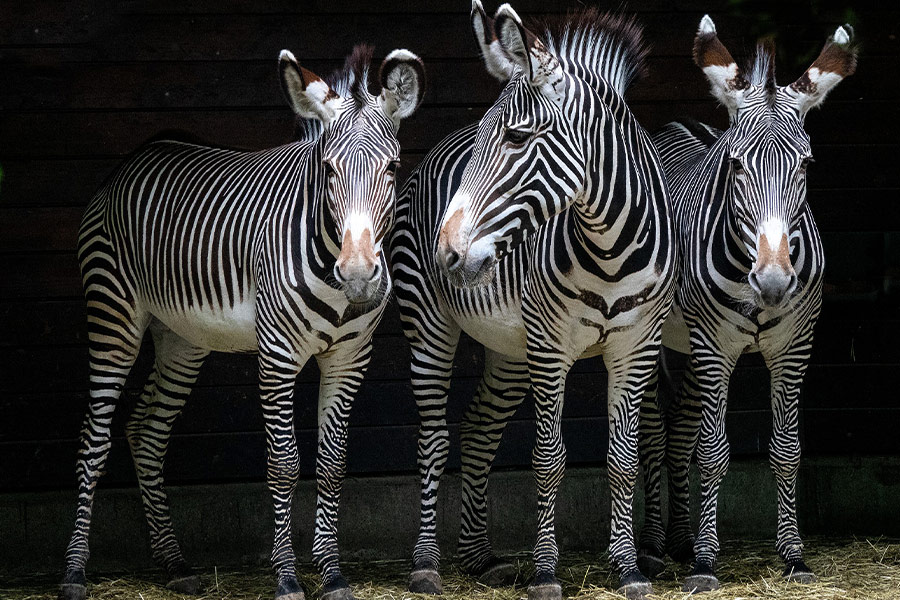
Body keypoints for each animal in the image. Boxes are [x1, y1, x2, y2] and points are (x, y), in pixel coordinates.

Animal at [57, 45, 424, 600]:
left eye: (394, 167)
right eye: (328, 169)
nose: (360, 275)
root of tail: (138, 154)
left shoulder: (349, 359)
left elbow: (333, 464)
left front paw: (332, 573)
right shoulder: (277, 355)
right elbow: (284, 463)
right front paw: (288, 577)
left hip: (182, 337)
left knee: (146, 431)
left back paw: (176, 565)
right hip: (112, 312)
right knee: (93, 441)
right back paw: (75, 572)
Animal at [390, 3, 676, 599]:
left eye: (518, 138)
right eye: (490, 137)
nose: (447, 252)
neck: (611, 249)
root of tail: (434, 151)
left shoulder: (636, 346)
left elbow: (622, 458)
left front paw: (628, 568)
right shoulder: (550, 347)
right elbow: (548, 458)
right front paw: (546, 572)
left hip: (509, 349)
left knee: (478, 429)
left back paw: (479, 558)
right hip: (431, 328)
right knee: (433, 438)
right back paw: (427, 564)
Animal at [634, 16, 857, 593]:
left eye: (806, 164)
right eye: (735, 165)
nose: (774, 282)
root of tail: (675, 126)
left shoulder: (794, 347)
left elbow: (787, 449)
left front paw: (794, 556)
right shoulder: (715, 347)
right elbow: (713, 453)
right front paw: (706, 566)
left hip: (687, 346)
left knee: (679, 429)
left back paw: (680, 540)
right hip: (652, 336)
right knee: (653, 432)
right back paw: (653, 549)